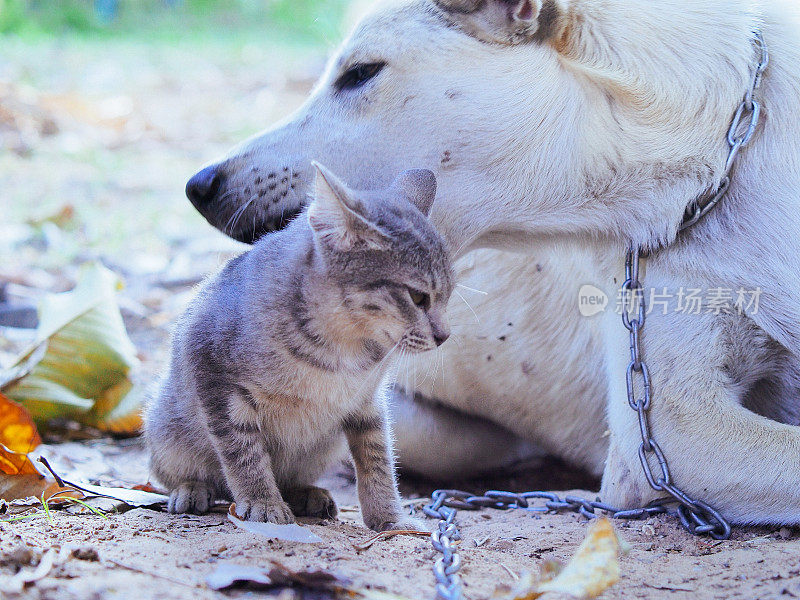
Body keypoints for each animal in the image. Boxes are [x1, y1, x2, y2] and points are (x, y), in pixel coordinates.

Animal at [144, 163, 454, 528]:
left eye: (447, 296)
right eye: (418, 297)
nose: (445, 335)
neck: (343, 348)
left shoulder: (367, 400)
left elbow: (377, 459)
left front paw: (390, 517)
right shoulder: (214, 376)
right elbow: (244, 454)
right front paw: (262, 501)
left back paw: (307, 494)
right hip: (166, 430)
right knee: (180, 473)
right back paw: (192, 488)